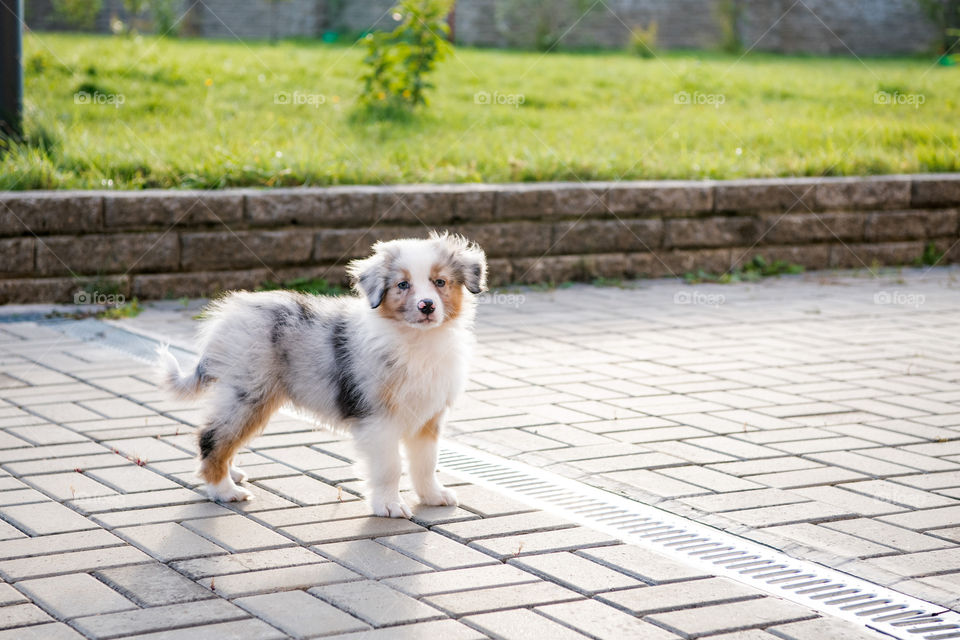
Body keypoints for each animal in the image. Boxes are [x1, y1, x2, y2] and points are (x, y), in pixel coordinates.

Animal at [160, 235, 488, 520]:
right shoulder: (378, 419)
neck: (417, 341)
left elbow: (426, 463)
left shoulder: (428, 416)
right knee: (212, 436)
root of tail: (227, 316)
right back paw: (224, 489)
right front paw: (390, 506)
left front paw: (433, 496)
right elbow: (389, 467)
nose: (427, 306)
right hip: (249, 393)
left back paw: (232, 473)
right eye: (403, 285)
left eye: (440, 282)